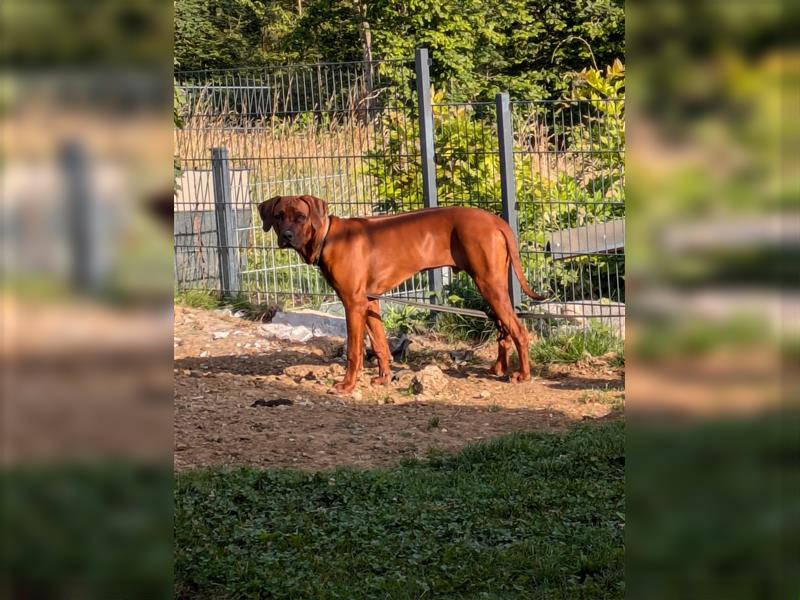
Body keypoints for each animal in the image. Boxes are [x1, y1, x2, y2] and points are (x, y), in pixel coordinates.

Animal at [260, 195, 548, 396]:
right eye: (278, 216)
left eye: (300, 217)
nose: (286, 236)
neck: (327, 236)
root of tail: (496, 220)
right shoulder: (370, 301)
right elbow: (380, 344)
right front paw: (384, 377)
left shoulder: (353, 303)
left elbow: (354, 351)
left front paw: (347, 385)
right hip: (491, 285)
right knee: (503, 328)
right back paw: (499, 368)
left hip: (489, 284)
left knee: (518, 330)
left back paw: (522, 374)